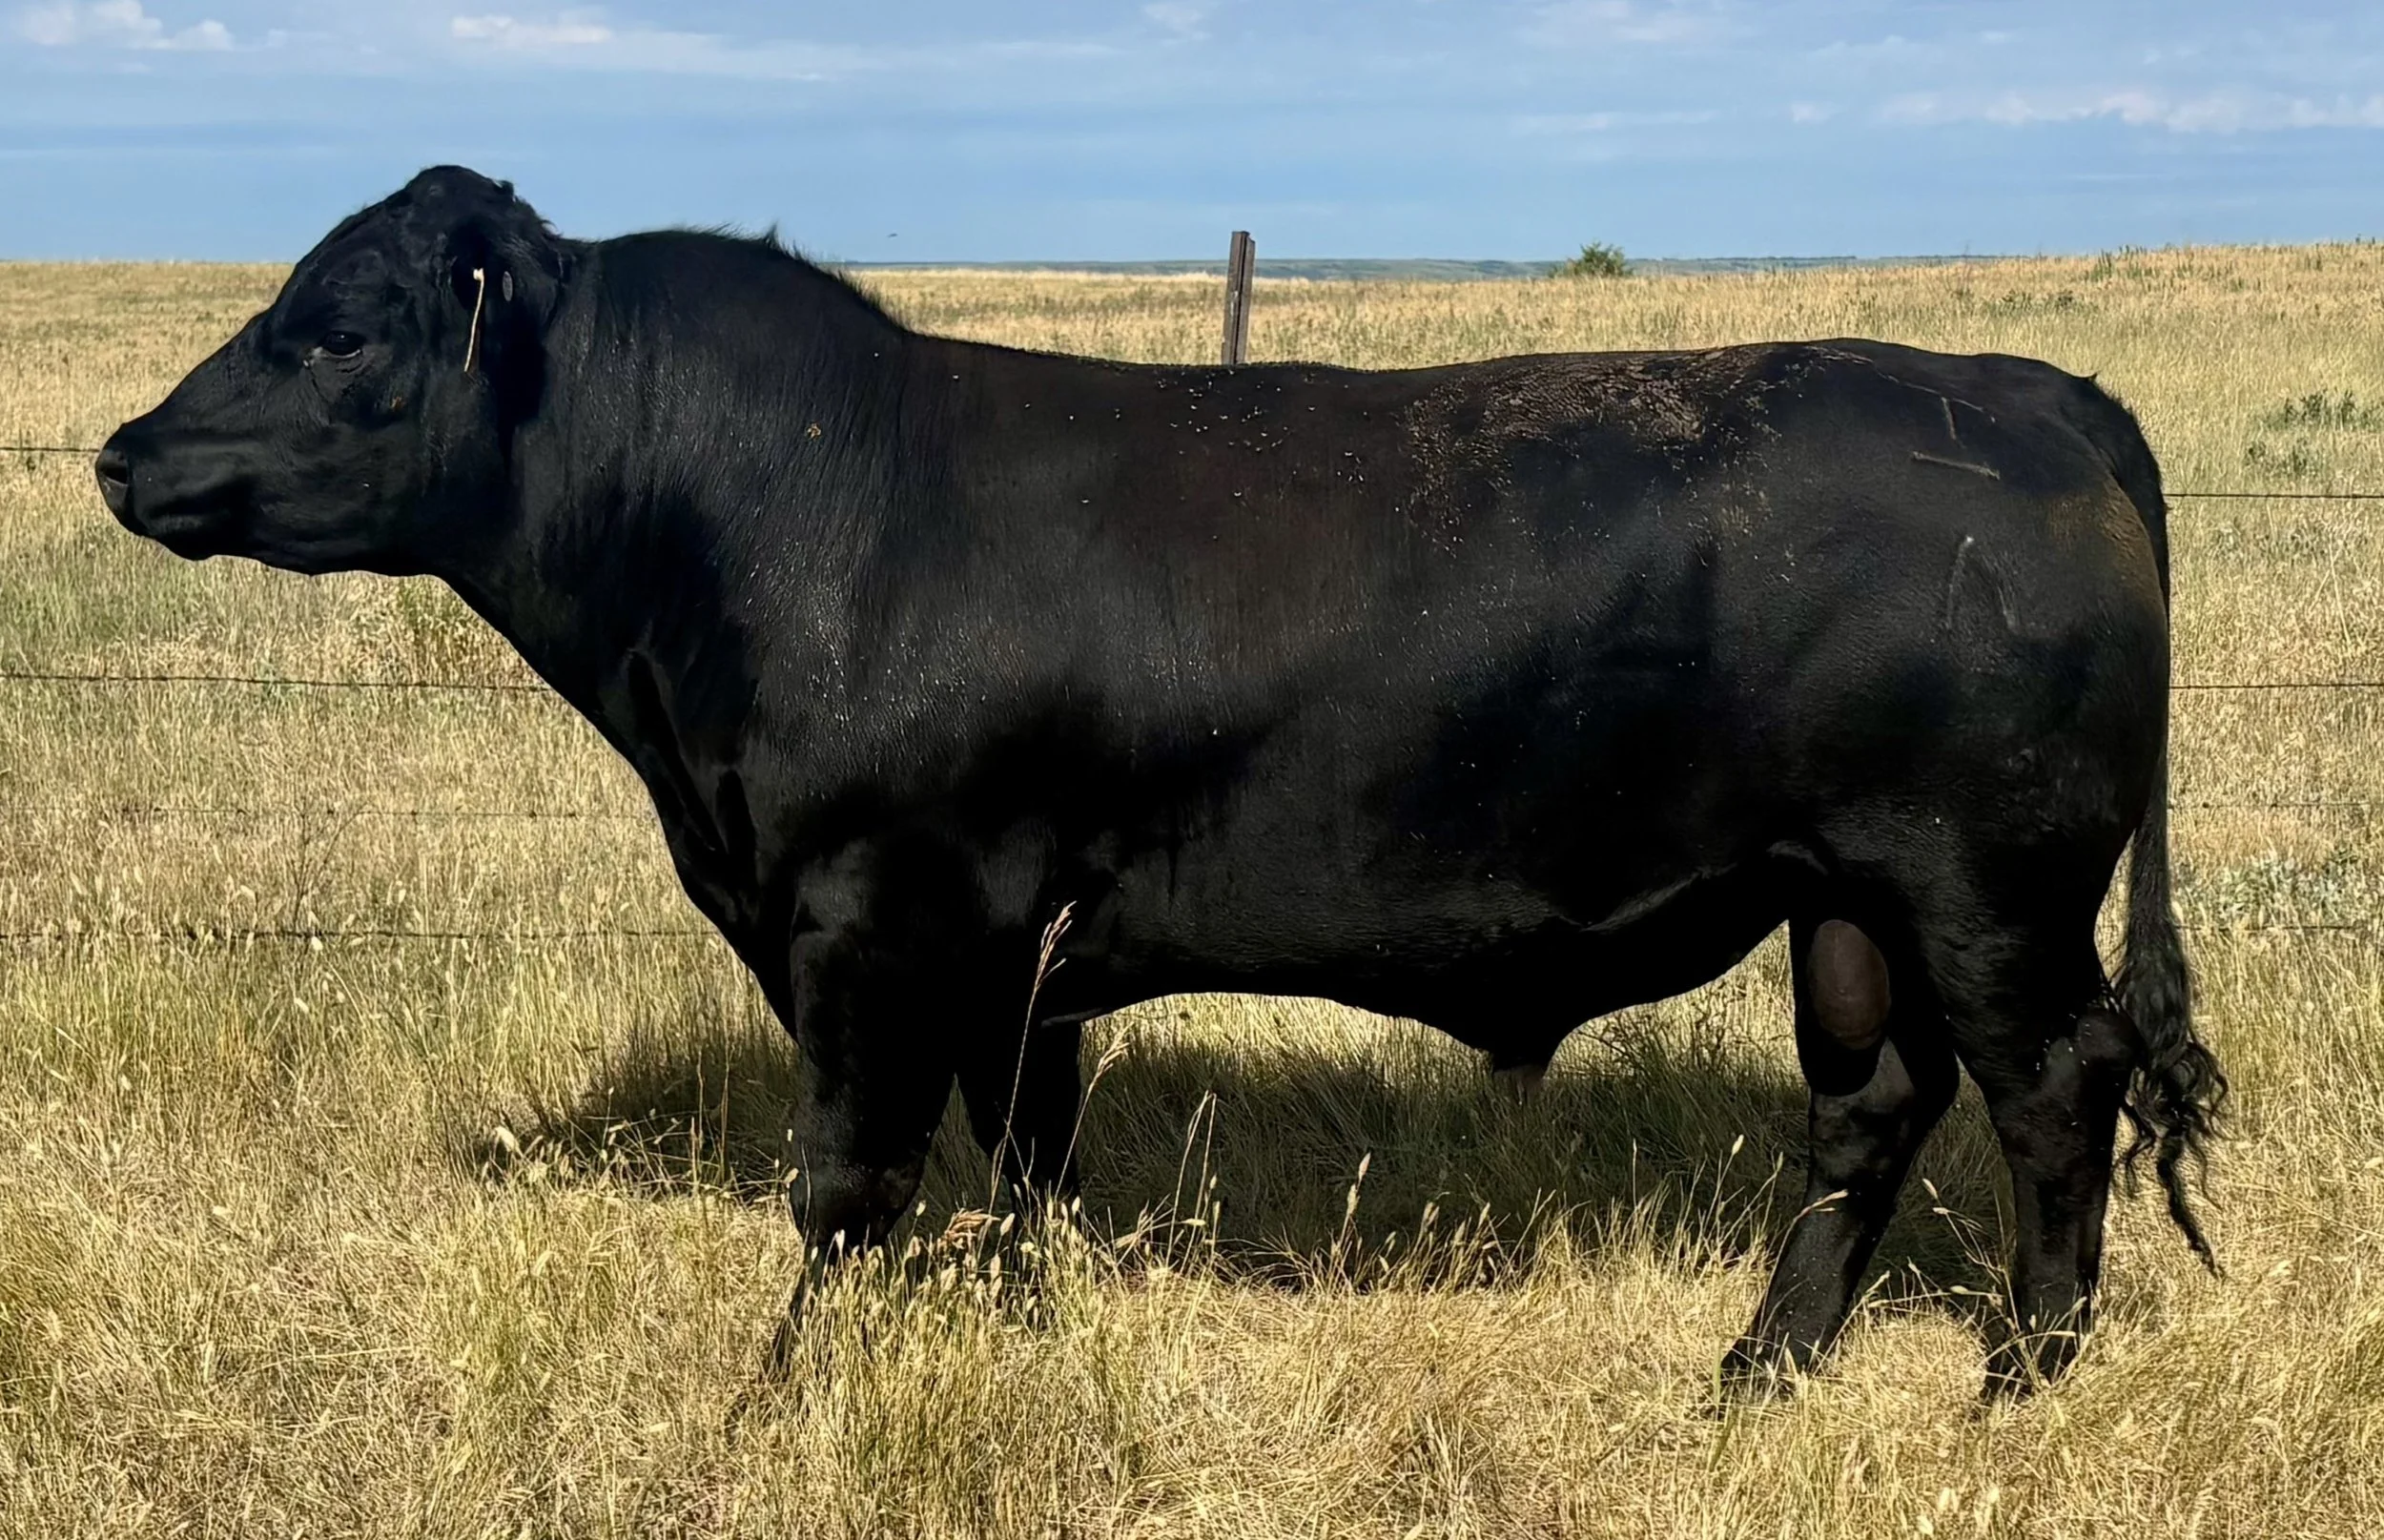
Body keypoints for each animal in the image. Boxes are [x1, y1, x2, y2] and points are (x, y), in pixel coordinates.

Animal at [97, 166, 2224, 1395]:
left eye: (338, 330)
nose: (123, 453)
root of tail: (2025, 390)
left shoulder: (873, 913)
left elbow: (844, 1181)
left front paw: (782, 1390)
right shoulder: (1012, 949)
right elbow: (1022, 1165)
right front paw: (1014, 1342)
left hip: (1983, 885)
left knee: (2053, 1094)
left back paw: (2021, 1375)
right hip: (1847, 900)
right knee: (1871, 1112)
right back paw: (1760, 1369)